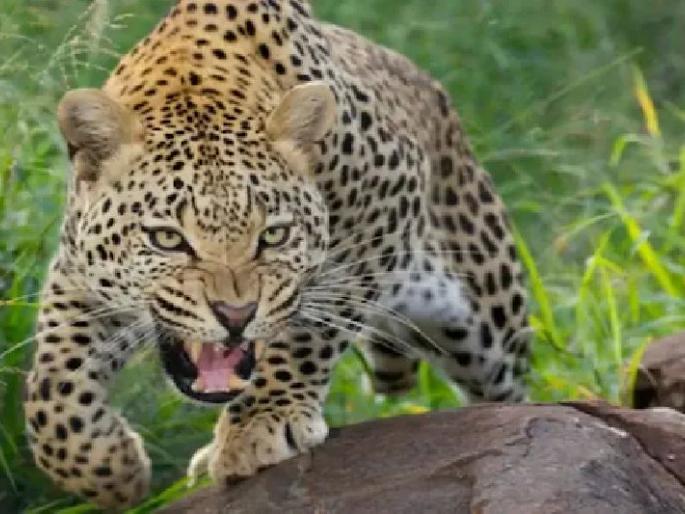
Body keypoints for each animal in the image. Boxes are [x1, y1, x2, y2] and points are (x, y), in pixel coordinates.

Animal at [24, 0, 530, 508]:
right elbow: (53, 381)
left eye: (274, 236)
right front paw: (109, 469)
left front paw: (260, 423)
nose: (235, 315)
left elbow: (310, 332)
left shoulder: (385, 207)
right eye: (167, 238)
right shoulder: (76, 270)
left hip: (487, 314)